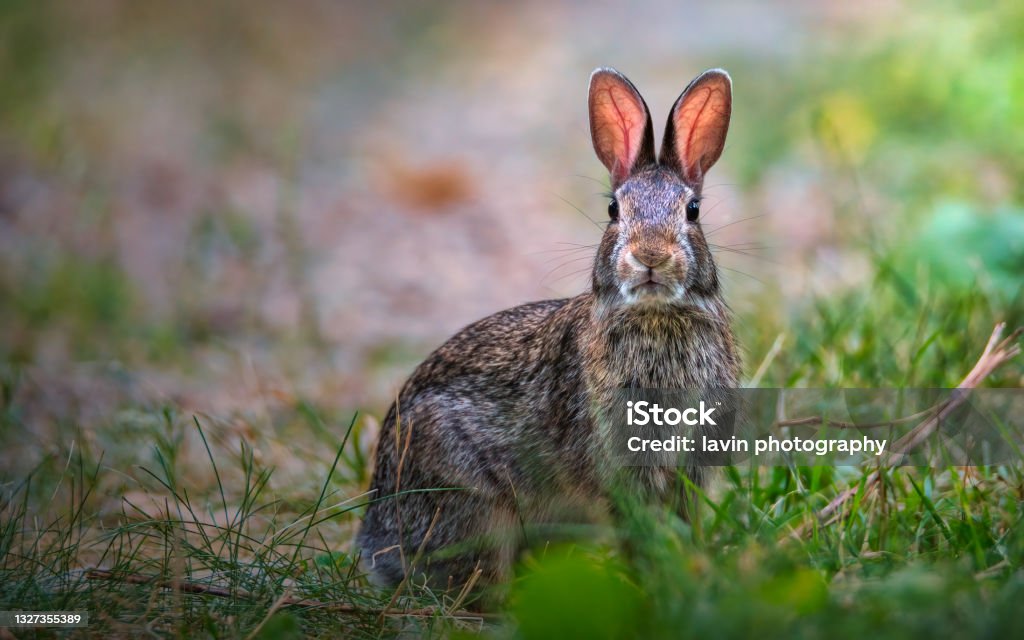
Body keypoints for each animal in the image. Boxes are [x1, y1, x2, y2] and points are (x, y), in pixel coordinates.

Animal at [356, 68, 741, 598]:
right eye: (613, 210)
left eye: (694, 210)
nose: (650, 255)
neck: (656, 316)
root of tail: (375, 537)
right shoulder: (617, 467)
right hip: (472, 505)